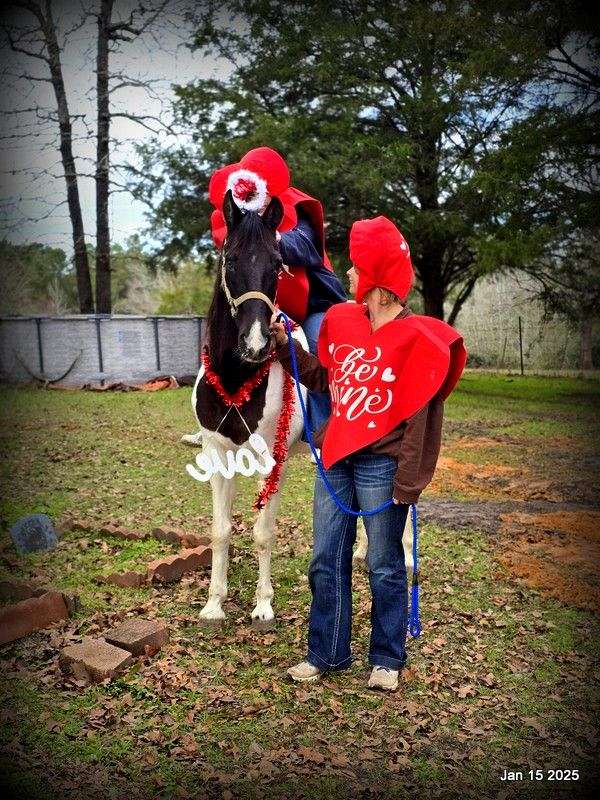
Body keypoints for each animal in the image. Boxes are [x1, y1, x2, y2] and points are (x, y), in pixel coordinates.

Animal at [189, 191, 310, 628]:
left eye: (277, 264)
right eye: (230, 259)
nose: (256, 343)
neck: (236, 377)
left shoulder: (270, 461)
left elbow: (263, 532)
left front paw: (263, 605)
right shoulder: (217, 452)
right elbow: (221, 530)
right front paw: (214, 604)